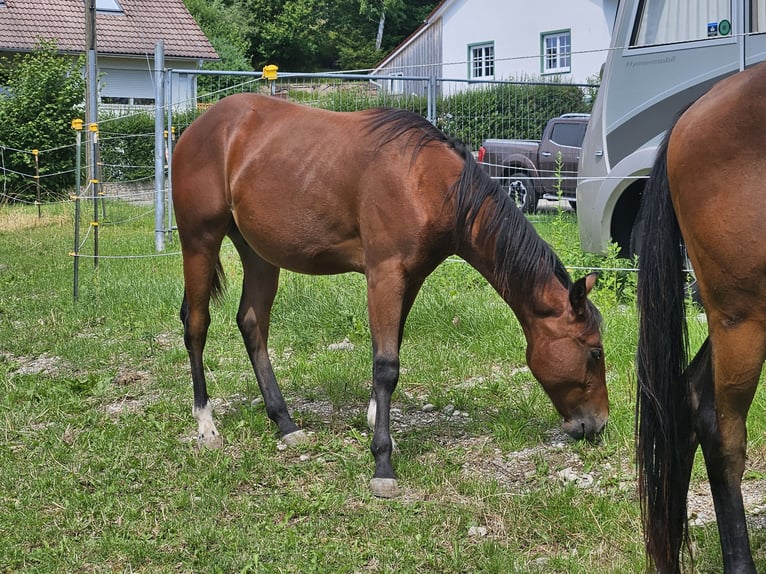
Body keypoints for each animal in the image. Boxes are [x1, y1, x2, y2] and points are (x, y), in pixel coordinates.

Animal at [171, 93, 608, 498]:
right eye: (594, 352)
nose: (597, 424)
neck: (428, 183)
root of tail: (198, 126)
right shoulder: (384, 275)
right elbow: (386, 365)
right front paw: (382, 462)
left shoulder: (410, 279)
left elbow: (391, 347)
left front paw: (378, 426)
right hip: (200, 241)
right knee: (197, 326)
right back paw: (207, 424)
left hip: (260, 255)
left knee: (252, 324)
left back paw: (285, 422)